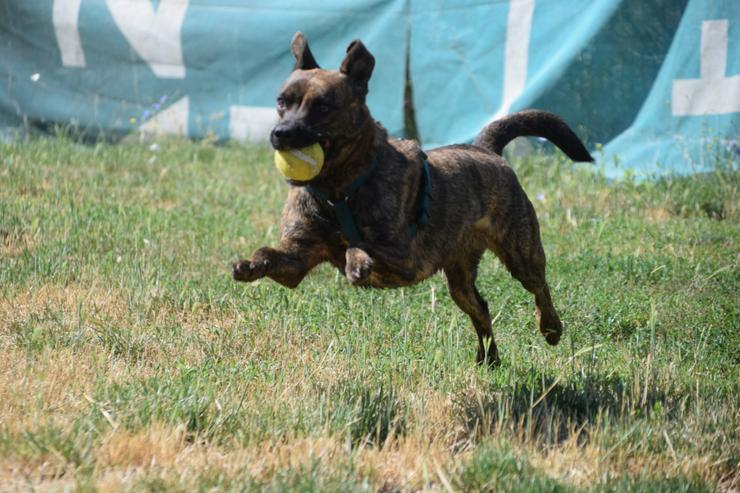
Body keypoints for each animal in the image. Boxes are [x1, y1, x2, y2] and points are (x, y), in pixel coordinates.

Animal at [234, 31, 592, 366]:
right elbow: (269, 252)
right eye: (281, 101)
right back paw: (489, 357)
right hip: (460, 279)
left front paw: (357, 261)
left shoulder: (407, 257)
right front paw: (249, 265)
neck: (339, 191)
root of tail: (485, 149)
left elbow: (358, 245)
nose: (280, 134)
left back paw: (551, 327)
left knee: (539, 286)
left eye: (322, 106)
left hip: (521, 251)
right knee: (480, 307)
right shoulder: (296, 259)